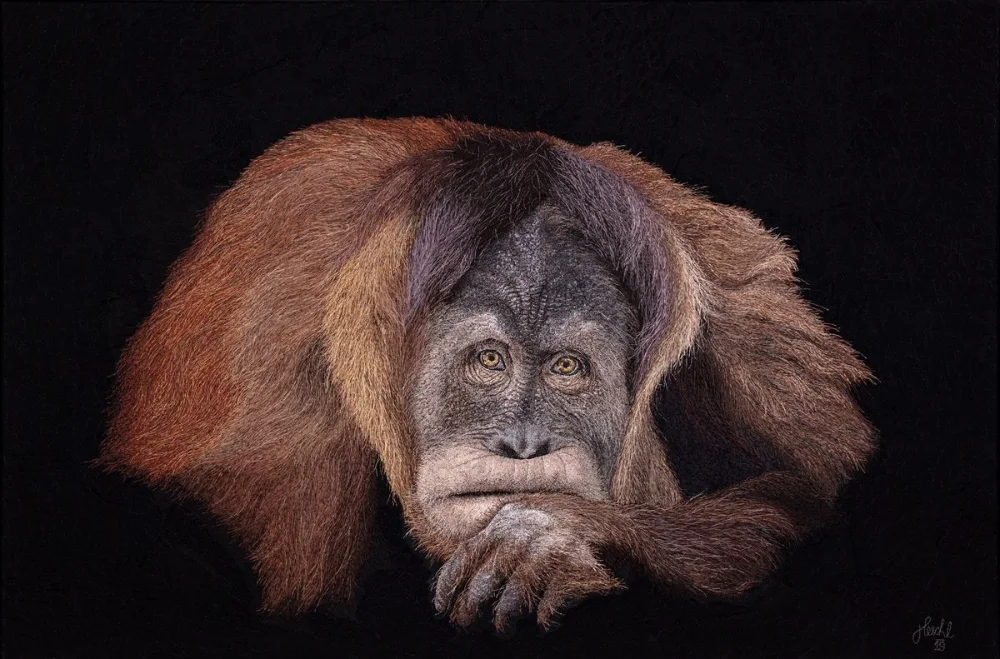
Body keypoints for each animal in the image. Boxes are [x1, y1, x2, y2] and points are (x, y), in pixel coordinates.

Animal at [99, 117, 876, 634]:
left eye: (566, 367)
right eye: (490, 359)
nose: (523, 445)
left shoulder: (745, 320)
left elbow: (805, 484)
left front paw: (556, 534)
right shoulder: (258, 363)